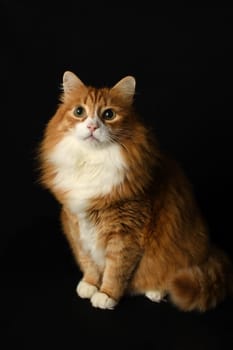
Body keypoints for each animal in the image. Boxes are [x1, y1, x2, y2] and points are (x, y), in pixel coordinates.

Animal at [37, 71, 232, 312]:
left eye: (109, 114)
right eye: (79, 112)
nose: (92, 126)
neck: (93, 163)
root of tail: (209, 250)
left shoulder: (126, 232)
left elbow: (116, 270)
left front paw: (106, 295)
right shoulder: (76, 223)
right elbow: (88, 261)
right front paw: (90, 284)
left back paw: (156, 291)